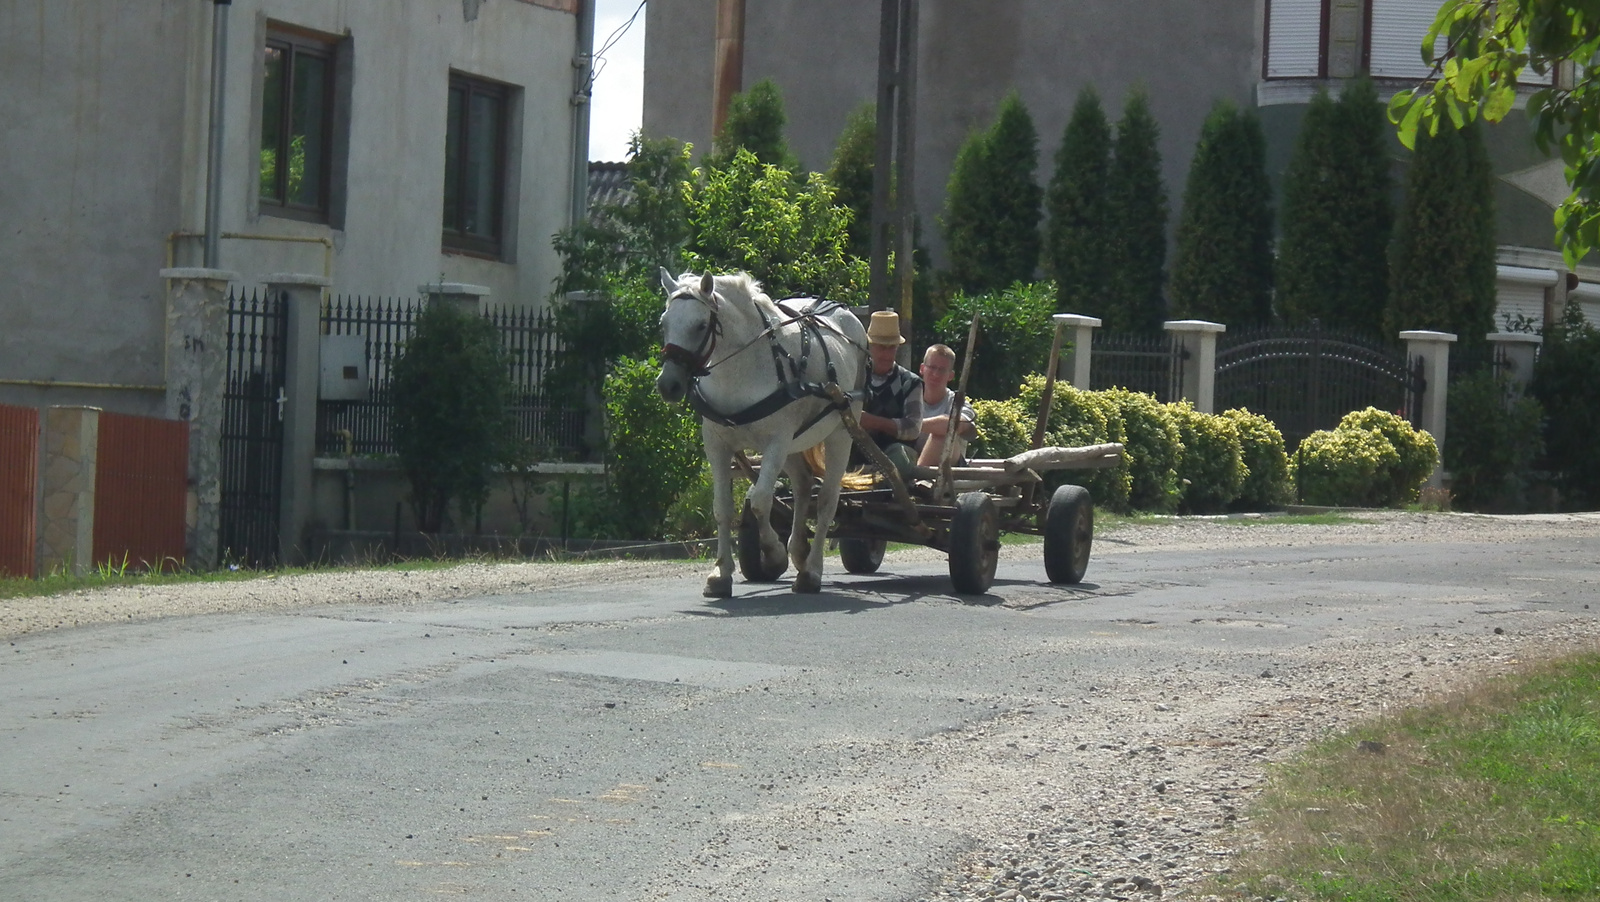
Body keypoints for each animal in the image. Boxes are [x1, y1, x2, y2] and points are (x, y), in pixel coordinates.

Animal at [656, 267, 870, 594]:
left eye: (701, 325)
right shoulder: (717, 444)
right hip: (795, 444)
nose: (668, 385)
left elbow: (759, 500)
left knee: (826, 500)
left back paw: (811, 571)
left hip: (841, 430)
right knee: (804, 485)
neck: (741, 370)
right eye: (663, 323)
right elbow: (723, 507)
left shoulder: (776, 442)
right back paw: (800, 551)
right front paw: (720, 574)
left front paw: (772, 553)